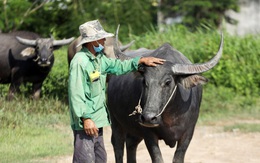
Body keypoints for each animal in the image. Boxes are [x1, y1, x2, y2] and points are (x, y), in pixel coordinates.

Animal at [107, 27, 223, 162]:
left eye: (167, 82)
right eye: (144, 81)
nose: (148, 117)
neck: (170, 114)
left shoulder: (188, 133)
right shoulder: (149, 134)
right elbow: (158, 158)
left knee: (131, 143)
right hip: (115, 121)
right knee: (118, 145)